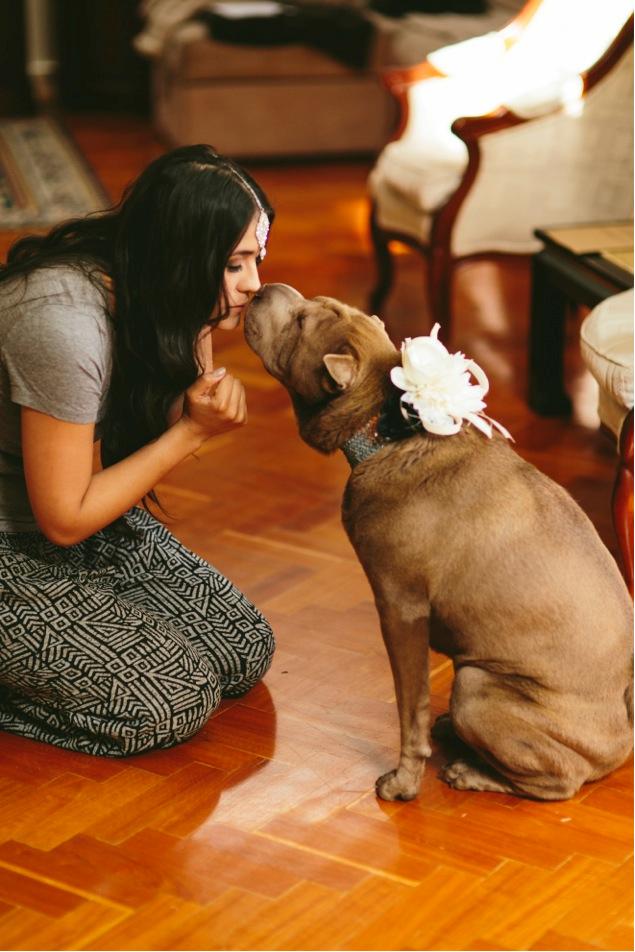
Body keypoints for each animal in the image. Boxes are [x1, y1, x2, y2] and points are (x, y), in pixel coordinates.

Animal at [245, 284, 635, 804]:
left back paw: (471, 773)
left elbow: (411, 711)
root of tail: (622, 741)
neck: (390, 427)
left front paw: (404, 783)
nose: (265, 288)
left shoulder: (401, 610)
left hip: (475, 685)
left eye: (301, 323)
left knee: (559, 781)